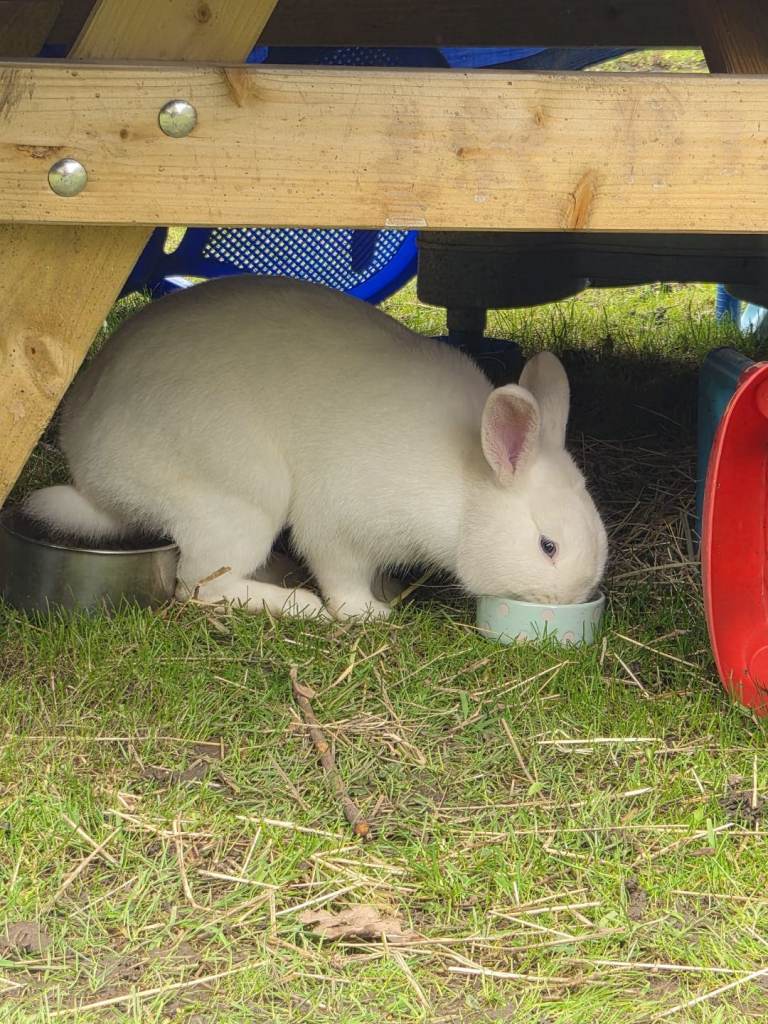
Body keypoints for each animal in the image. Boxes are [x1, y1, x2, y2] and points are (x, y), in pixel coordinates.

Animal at [24, 275, 607, 619]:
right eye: (547, 546)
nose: (571, 599)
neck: (465, 485)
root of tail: (92, 474)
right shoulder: (338, 526)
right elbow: (342, 574)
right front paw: (368, 613)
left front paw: (387, 591)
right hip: (239, 502)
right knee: (200, 586)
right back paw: (299, 603)